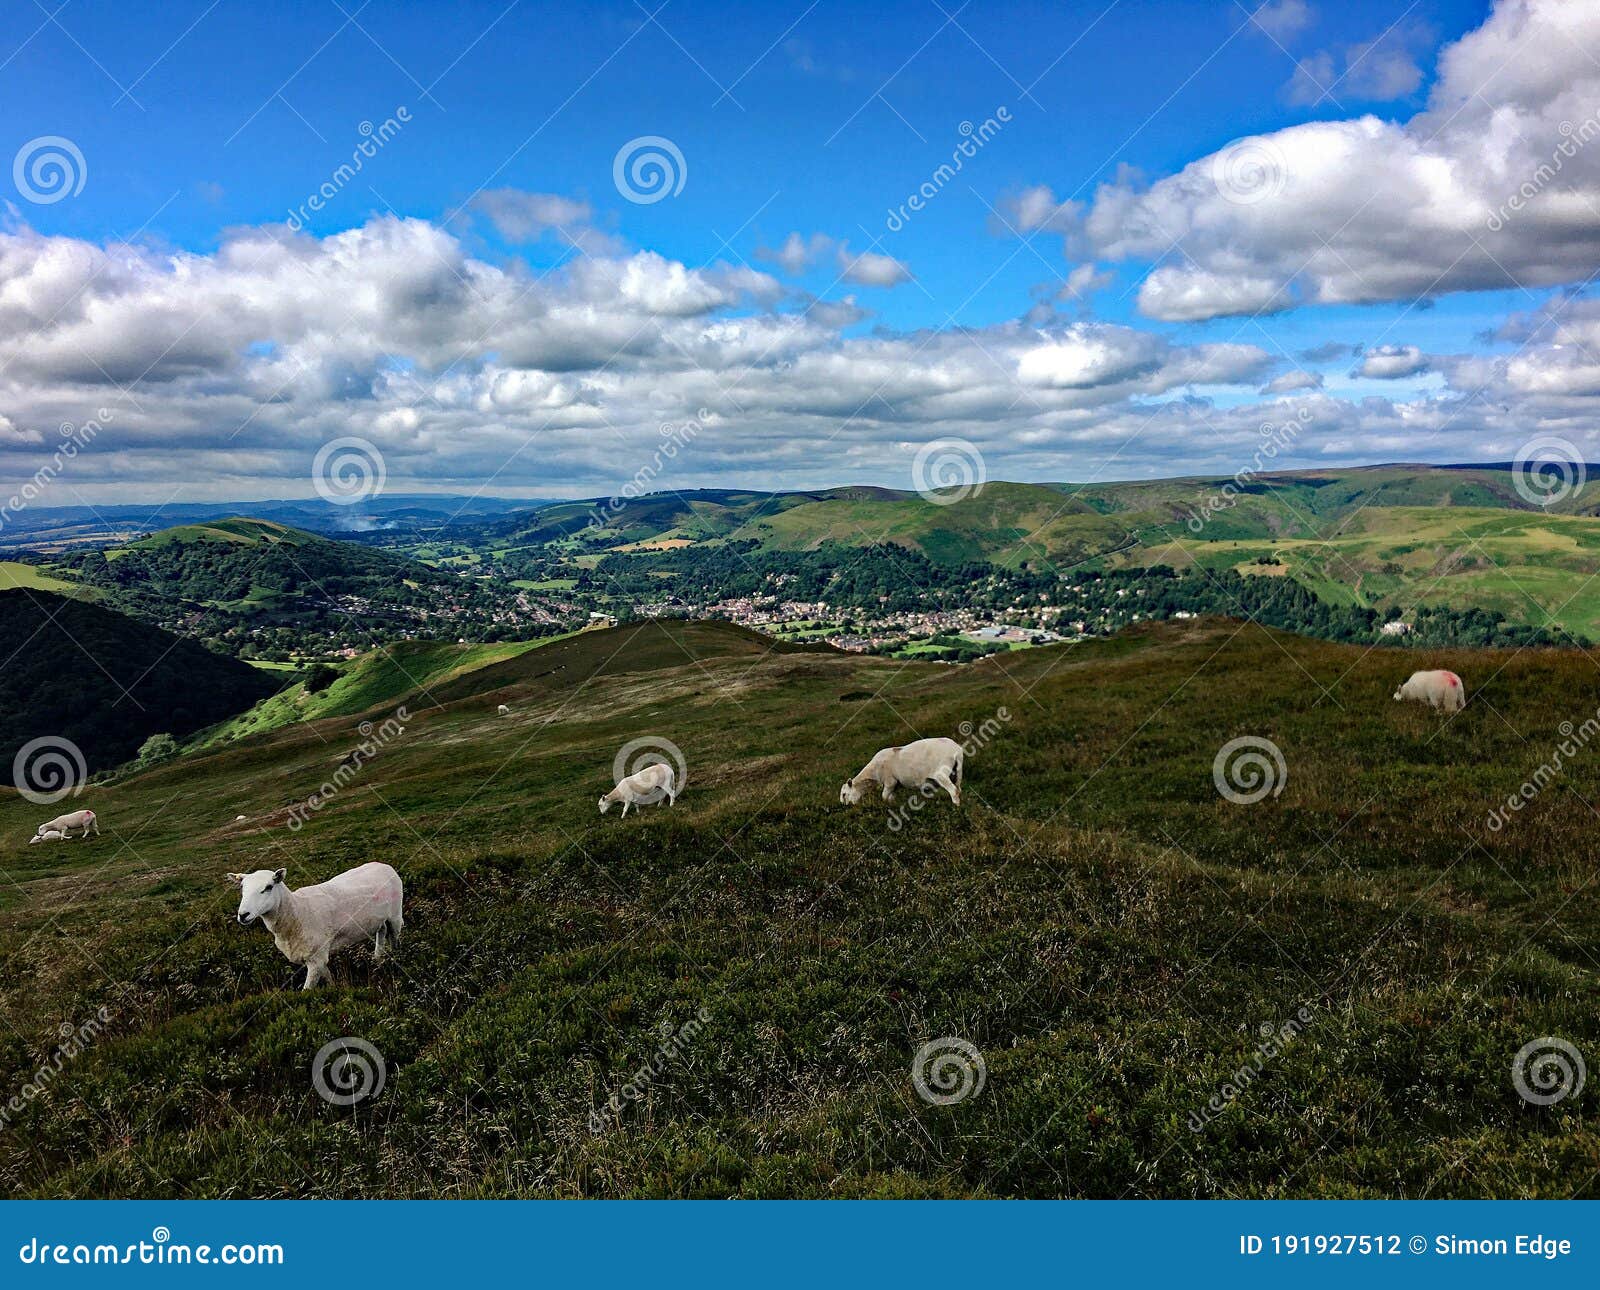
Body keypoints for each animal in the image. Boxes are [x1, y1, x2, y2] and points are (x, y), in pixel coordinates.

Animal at [227, 864, 406, 992]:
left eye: (269, 887)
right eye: (242, 889)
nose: (243, 915)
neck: (297, 911)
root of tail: (384, 865)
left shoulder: (316, 958)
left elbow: (307, 991)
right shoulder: (318, 956)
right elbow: (327, 976)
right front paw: (334, 988)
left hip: (395, 915)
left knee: (394, 938)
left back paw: (397, 960)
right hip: (379, 919)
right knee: (382, 931)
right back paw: (377, 959)